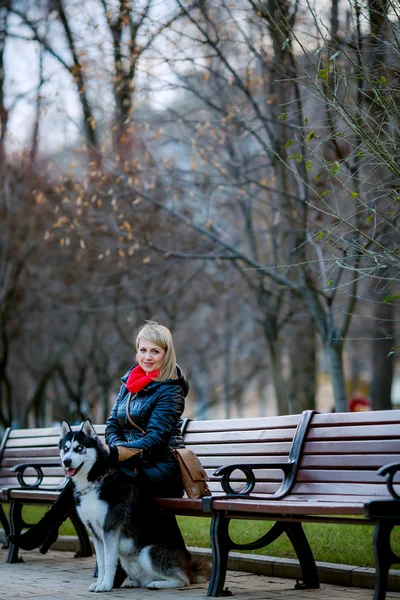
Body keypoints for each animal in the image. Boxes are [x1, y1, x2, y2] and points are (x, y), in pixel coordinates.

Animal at [60, 420, 209, 592]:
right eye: (66, 449)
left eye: (79, 448)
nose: (66, 461)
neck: (95, 481)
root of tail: (188, 565)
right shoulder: (96, 533)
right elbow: (102, 563)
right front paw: (99, 583)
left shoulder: (110, 529)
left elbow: (109, 563)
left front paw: (105, 585)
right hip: (127, 559)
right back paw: (135, 582)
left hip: (147, 552)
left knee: (183, 579)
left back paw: (158, 584)